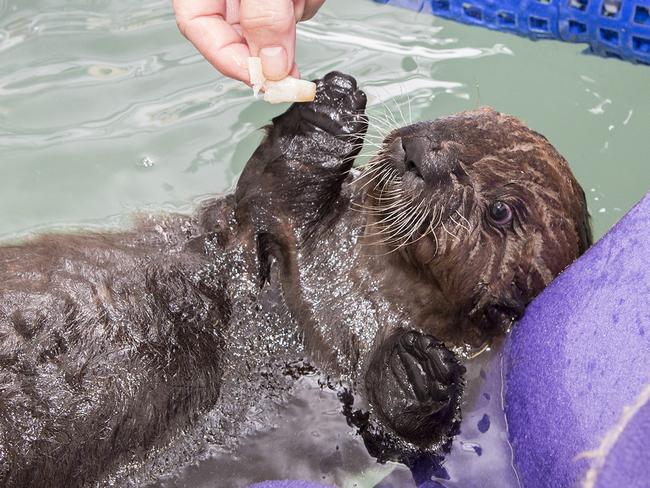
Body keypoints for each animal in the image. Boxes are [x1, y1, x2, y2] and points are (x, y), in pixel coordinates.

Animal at [0, 70, 588, 486]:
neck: (367, 278)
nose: (418, 149)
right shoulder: (267, 234)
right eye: (463, 119)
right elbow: (271, 199)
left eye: (500, 212)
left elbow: (404, 442)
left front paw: (418, 370)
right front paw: (329, 113)